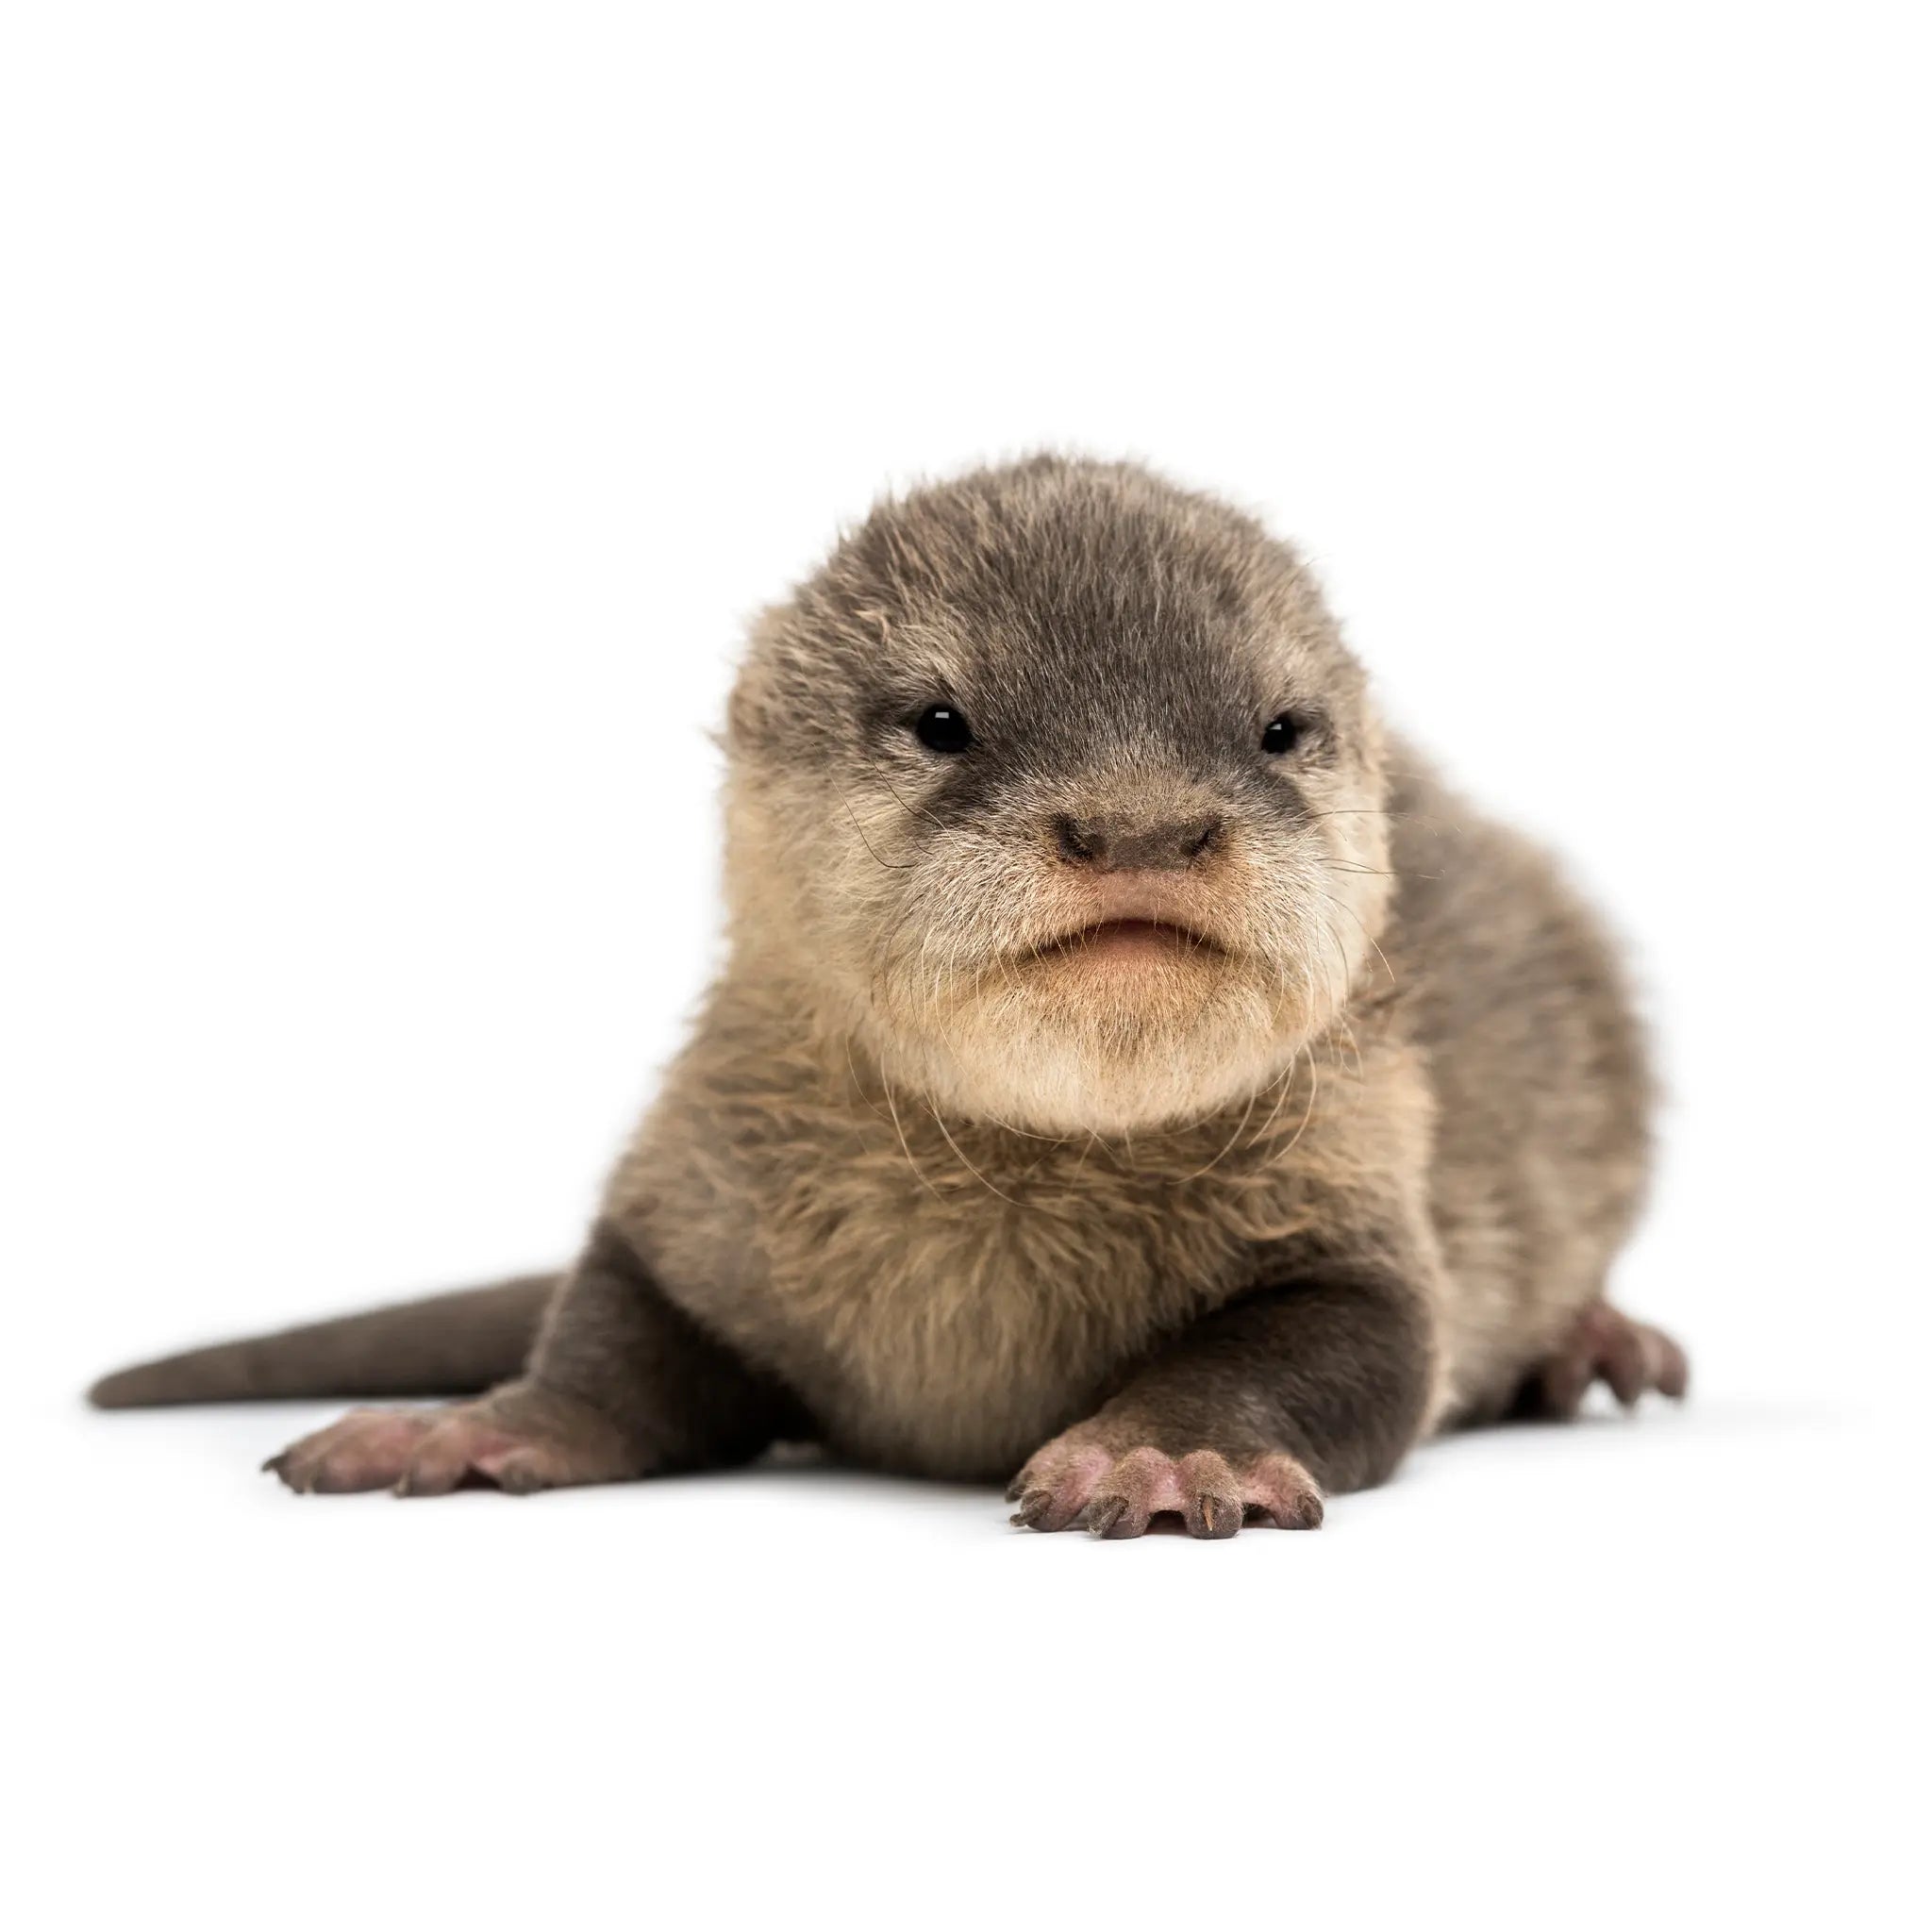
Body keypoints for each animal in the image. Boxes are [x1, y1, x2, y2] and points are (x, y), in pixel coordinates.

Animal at [89, 455, 1686, 1537]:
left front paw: (1167, 1450)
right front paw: (471, 1428)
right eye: (939, 720)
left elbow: (1347, 1349)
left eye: (1281, 728)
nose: (1140, 825)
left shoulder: (1354, 1189)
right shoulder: (697, 1181)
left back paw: (1597, 1348)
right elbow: (620, 1340)